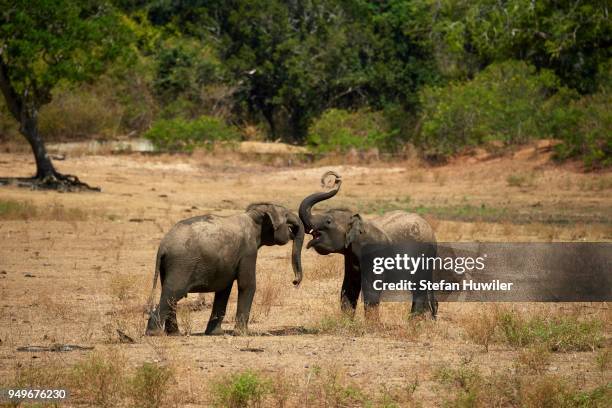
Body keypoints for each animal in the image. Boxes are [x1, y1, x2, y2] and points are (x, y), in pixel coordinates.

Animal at [146, 202, 304, 336]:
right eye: (287, 215)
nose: (295, 281)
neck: (253, 216)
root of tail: (163, 247)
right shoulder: (248, 251)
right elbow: (247, 284)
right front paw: (242, 334)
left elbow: (224, 289)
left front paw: (215, 333)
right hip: (182, 264)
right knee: (173, 292)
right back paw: (154, 333)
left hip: (169, 266)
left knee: (170, 295)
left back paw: (174, 334)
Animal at [298, 171, 438, 318]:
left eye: (328, 221)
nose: (336, 179)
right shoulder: (350, 256)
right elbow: (349, 286)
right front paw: (346, 321)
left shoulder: (374, 254)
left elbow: (370, 289)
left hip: (426, 253)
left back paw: (415, 320)